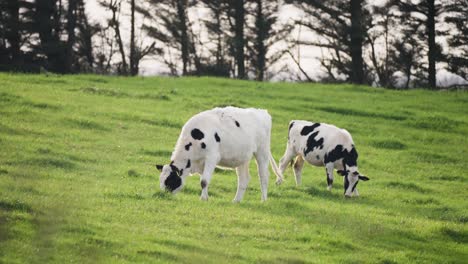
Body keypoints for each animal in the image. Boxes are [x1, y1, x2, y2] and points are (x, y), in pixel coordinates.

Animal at [155, 106, 284, 201]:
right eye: (161, 180)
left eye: (170, 180)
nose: (163, 194)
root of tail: (262, 112)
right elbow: (204, 180)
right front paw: (205, 197)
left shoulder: (212, 157)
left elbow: (204, 181)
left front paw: (203, 199)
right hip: (242, 157)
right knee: (244, 179)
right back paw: (236, 201)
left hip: (262, 152)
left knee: (264, 176)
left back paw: (263, 200)